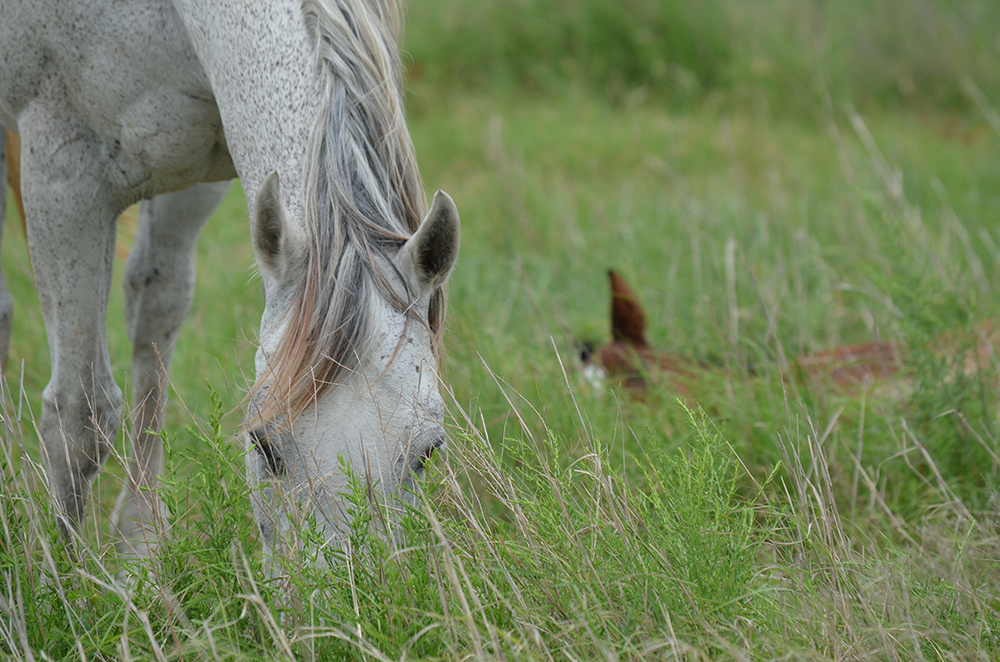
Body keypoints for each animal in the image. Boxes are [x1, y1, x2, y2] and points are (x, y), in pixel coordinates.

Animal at [0, 0, 459, 563]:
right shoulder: (63, 174)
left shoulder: (199, 178)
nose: (345, 589)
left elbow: (156, 309)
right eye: (262, 445)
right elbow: (79, 416)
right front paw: (57, 582)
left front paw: (139, 553)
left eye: (428, 453)